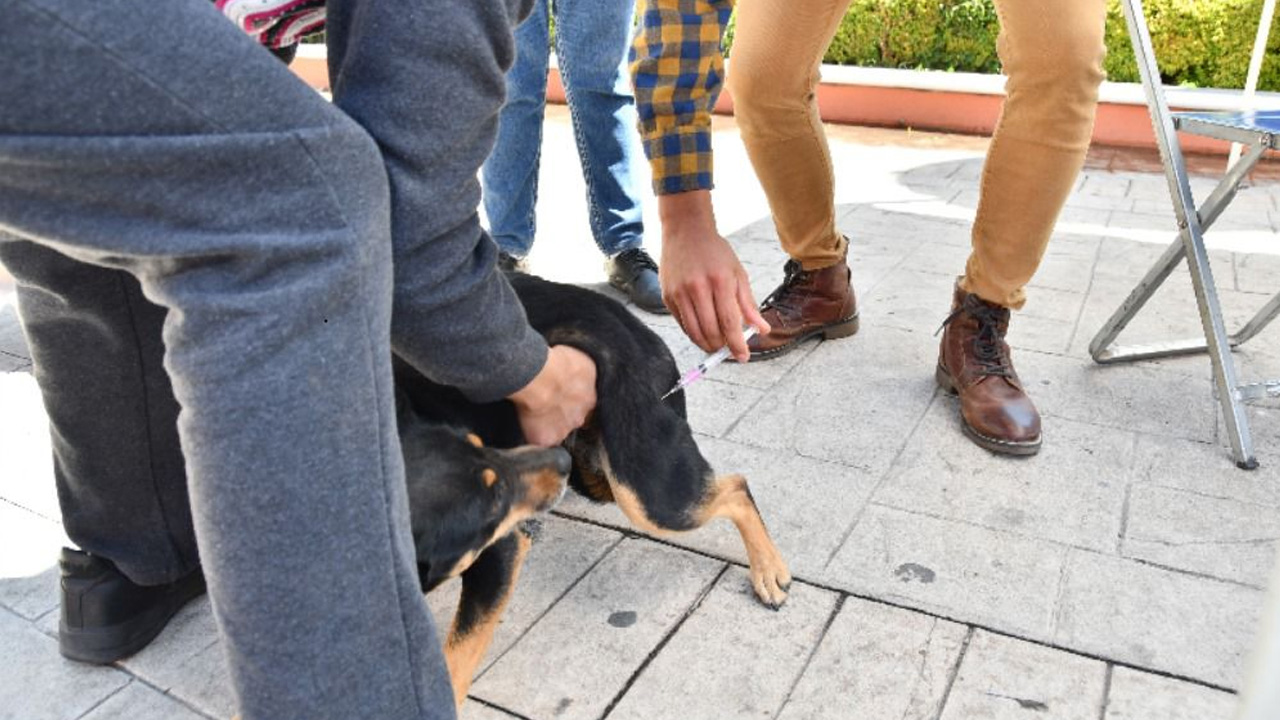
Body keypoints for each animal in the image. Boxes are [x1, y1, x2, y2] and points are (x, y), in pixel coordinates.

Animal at [399, 271, 793, 702]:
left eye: (493, 499)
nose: (557, 461)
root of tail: (630, 322)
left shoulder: (500, 548)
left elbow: (454, 664)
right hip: (600, 474)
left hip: (644, 490)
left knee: (735, 486)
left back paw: (768, 570)